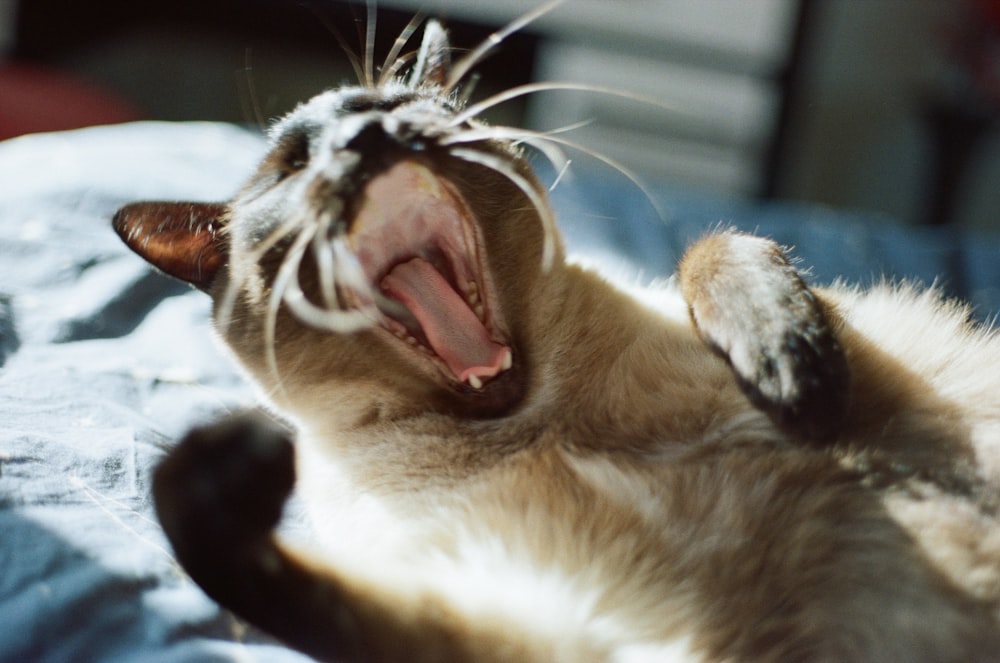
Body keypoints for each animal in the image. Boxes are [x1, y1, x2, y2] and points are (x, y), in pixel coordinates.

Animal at [111, 10, 1000, 663]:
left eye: (396, 110)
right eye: (294, 165)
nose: (365, 134)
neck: (541, 422)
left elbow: (714, 247)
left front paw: (792, 373)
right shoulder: (558, 620)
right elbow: (247, 561)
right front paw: (224, 466)